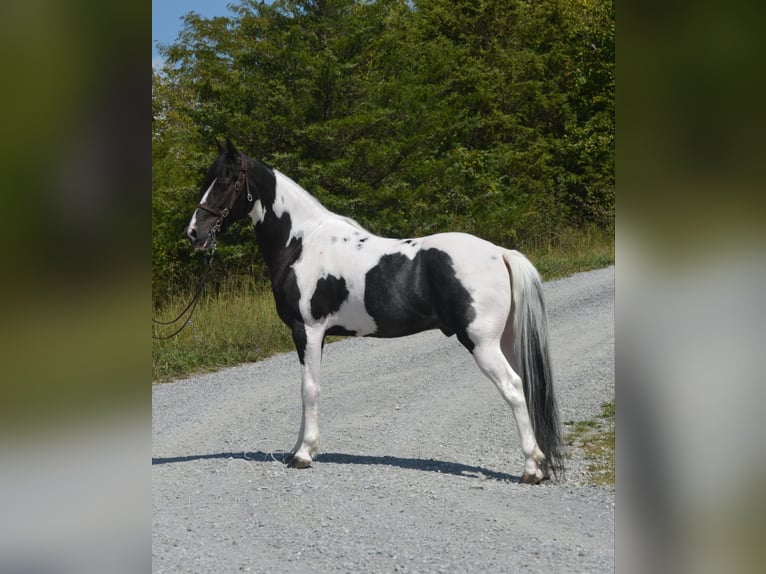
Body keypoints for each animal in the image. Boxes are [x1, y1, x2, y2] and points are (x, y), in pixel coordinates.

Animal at [186, 141, 564, 486]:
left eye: (226, 180)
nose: (194, 233)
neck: (301, 242)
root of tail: (501, 252)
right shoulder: (312, 336)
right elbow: (308, 387)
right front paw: (298, 448)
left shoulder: (307, 330)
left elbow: (309, 389)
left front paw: (304, 454)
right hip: (506, 341)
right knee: (525, 386)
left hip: (481, 343)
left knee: (513, 388)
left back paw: (531, 469)